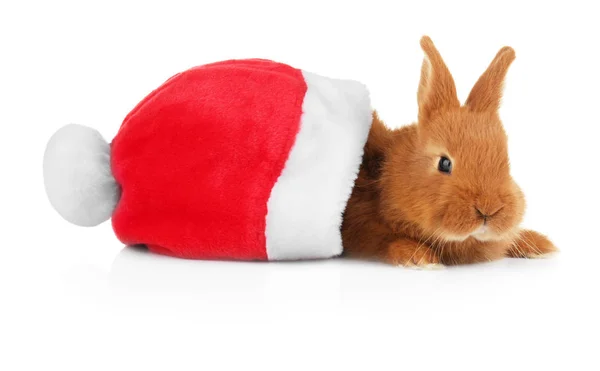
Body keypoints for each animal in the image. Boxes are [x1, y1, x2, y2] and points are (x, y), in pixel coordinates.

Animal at [342, 36, 556, 268]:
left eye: (506, 162)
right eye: (444, 163)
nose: (488, 209)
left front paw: (541, 245)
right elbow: (386, 242)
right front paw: (420, 257)